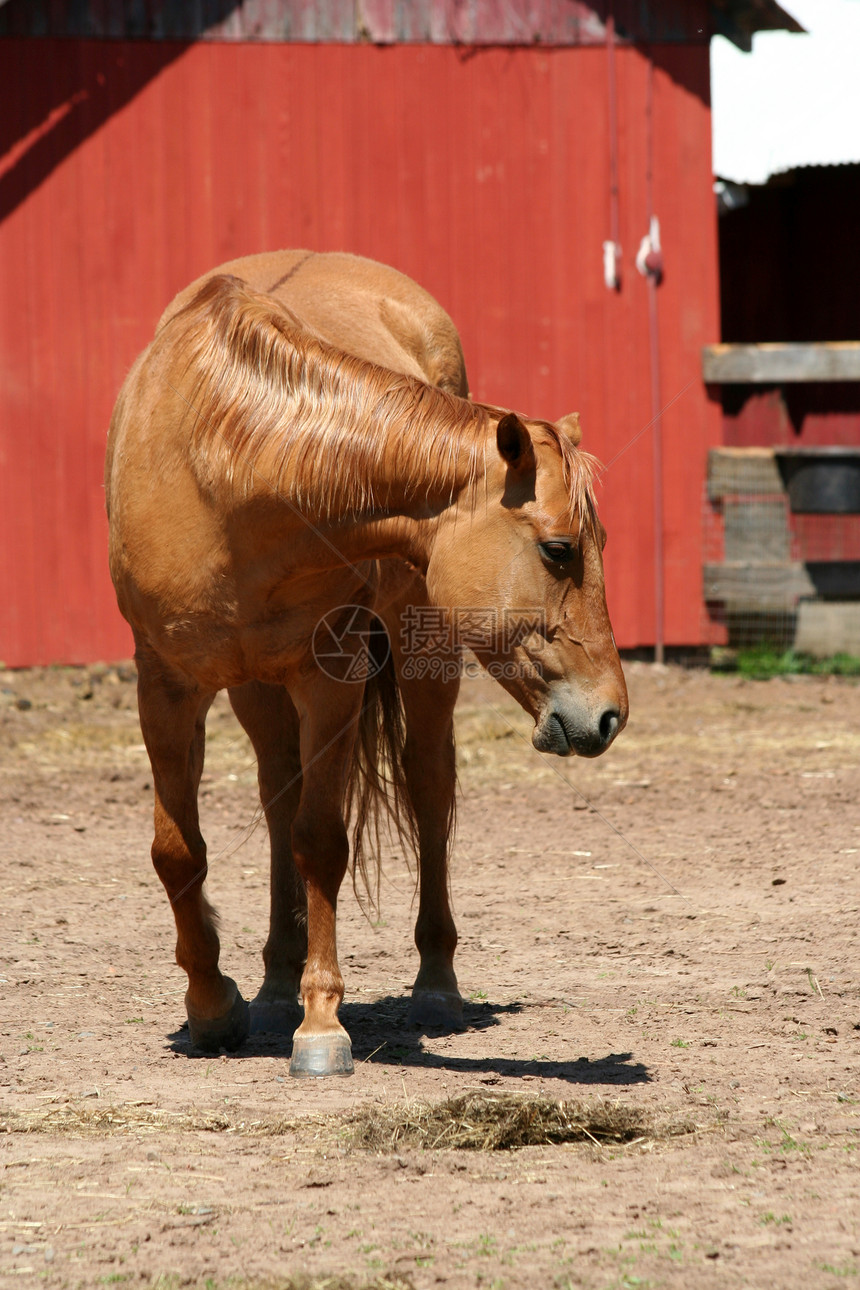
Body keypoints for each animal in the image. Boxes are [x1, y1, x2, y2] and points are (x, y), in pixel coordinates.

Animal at [107, 251, 629, 1078]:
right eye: (559, 549)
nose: (609, 713)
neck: (227, 468)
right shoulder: (165, 684)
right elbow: (178, 850)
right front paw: (213, 1007)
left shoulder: (331, 680)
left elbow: (323, 839)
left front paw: (321, 1026)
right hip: (258, 690)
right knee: (279, 798)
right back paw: (275, 983)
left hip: (423, 656)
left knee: (427, 790)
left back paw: (435, 985)